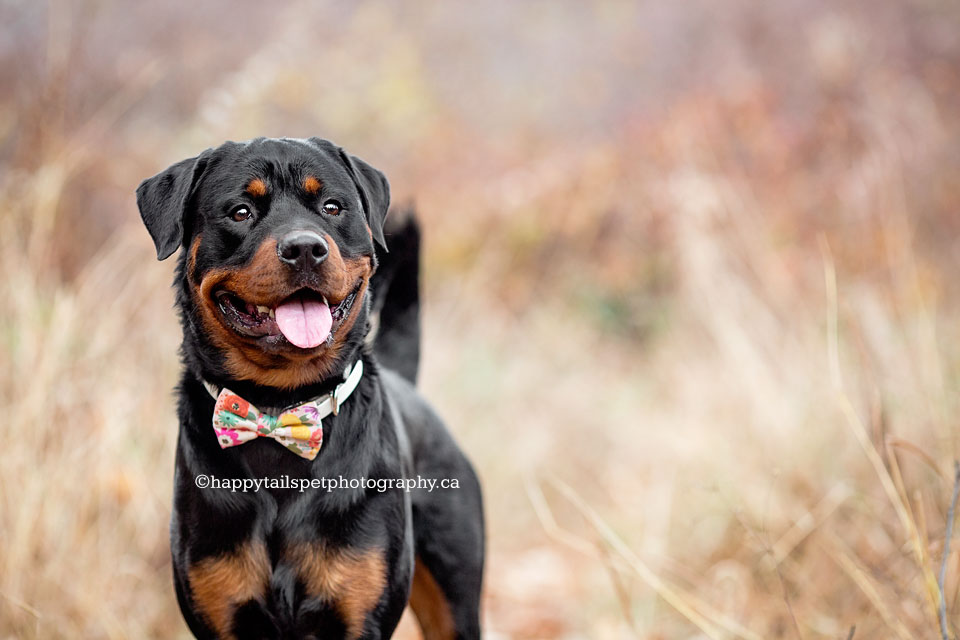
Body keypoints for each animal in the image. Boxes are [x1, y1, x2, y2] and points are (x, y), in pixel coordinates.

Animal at [137, 139, 480, 640]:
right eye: (240, 212)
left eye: (332, 207)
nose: (304, 248)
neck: (279, 408)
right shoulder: (219, 611)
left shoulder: (359, 616)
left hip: (455, 599)